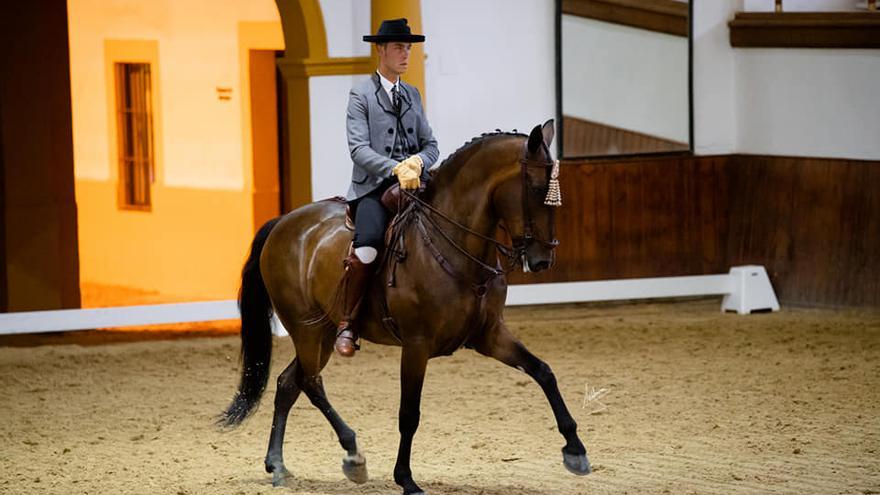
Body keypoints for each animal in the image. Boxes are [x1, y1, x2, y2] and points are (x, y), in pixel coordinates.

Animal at [220, 121, 592, 495]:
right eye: (535, 188)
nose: (542, 260)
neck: (454, 245)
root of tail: (282, 223)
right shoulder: (416, 344)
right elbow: (409, 413)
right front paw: (406, 479)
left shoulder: (489, 335)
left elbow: (543, 371)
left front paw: (576, 450)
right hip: (306, 329)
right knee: (311, 383)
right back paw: (353, 455)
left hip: (322, 333)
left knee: (288, 383)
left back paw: (278, 465)